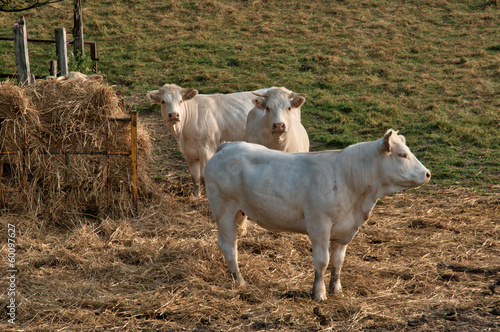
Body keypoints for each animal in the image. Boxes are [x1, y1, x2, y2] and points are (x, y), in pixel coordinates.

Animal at [203, 129, 430, 300]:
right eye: (402, 154)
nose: (427, 173)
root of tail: (227, 146)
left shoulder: (345, 230)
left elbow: (338, 262)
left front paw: (336, 289)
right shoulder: (319, 224)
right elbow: (322, 260)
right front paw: (319, 293)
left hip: (239, 212)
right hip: (223, 208)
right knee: (228, 245)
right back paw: (239, 280)